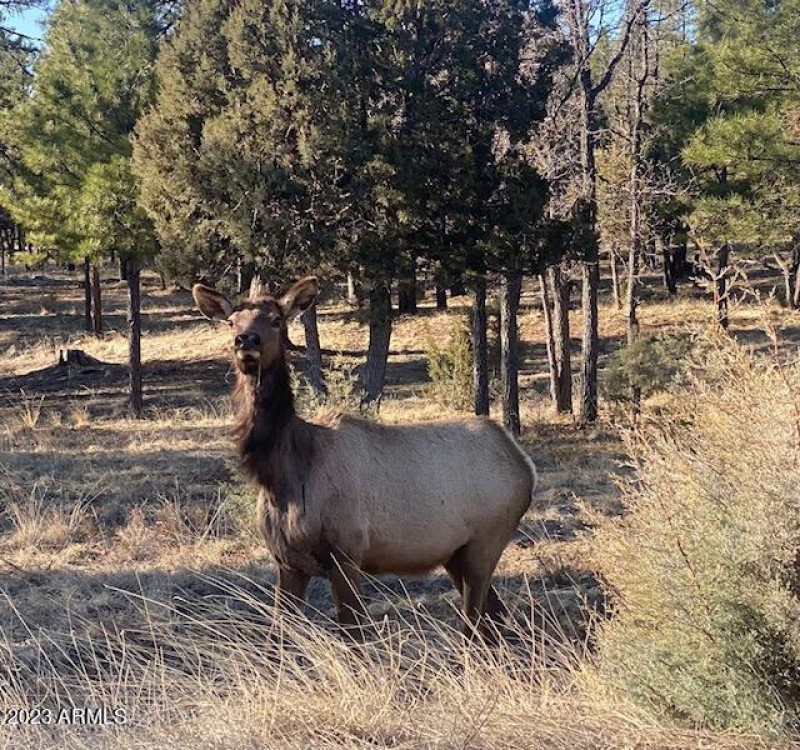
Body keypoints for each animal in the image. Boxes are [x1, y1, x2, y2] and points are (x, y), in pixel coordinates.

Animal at [192, 276, 538, 639]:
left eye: (276, 320)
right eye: (232, 321)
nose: (246, 340)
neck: (281, 477)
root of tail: (525, 464)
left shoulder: (347, 554)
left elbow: (353, 636)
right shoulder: (286, 561)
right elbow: (278, 640)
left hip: (485, 543)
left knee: (477, 624)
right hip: (455, 554)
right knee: (497, 621)